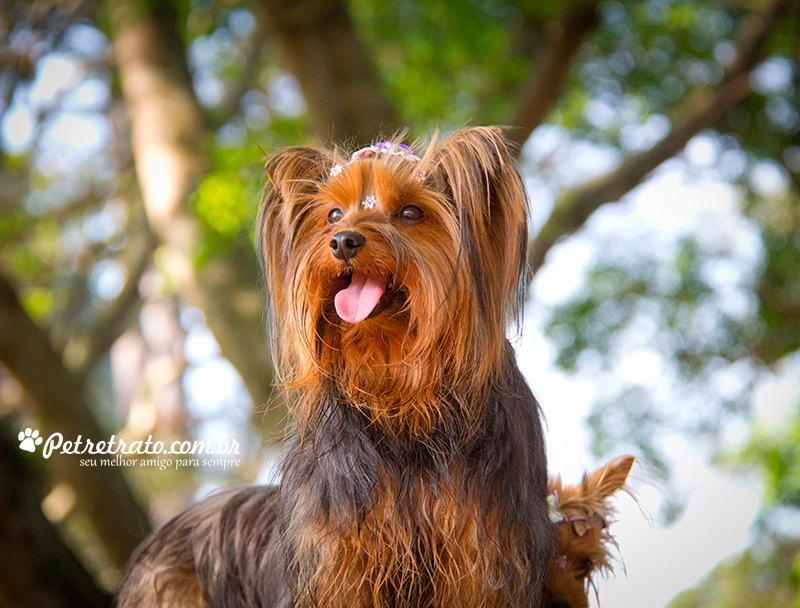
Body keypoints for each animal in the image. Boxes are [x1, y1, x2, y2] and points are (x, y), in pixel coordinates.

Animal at [120, 126, 556, 604]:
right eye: (332, 214)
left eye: (410, 211)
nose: (343, 241)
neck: (401, 396)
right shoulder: (340, 561)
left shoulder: (480, 559)